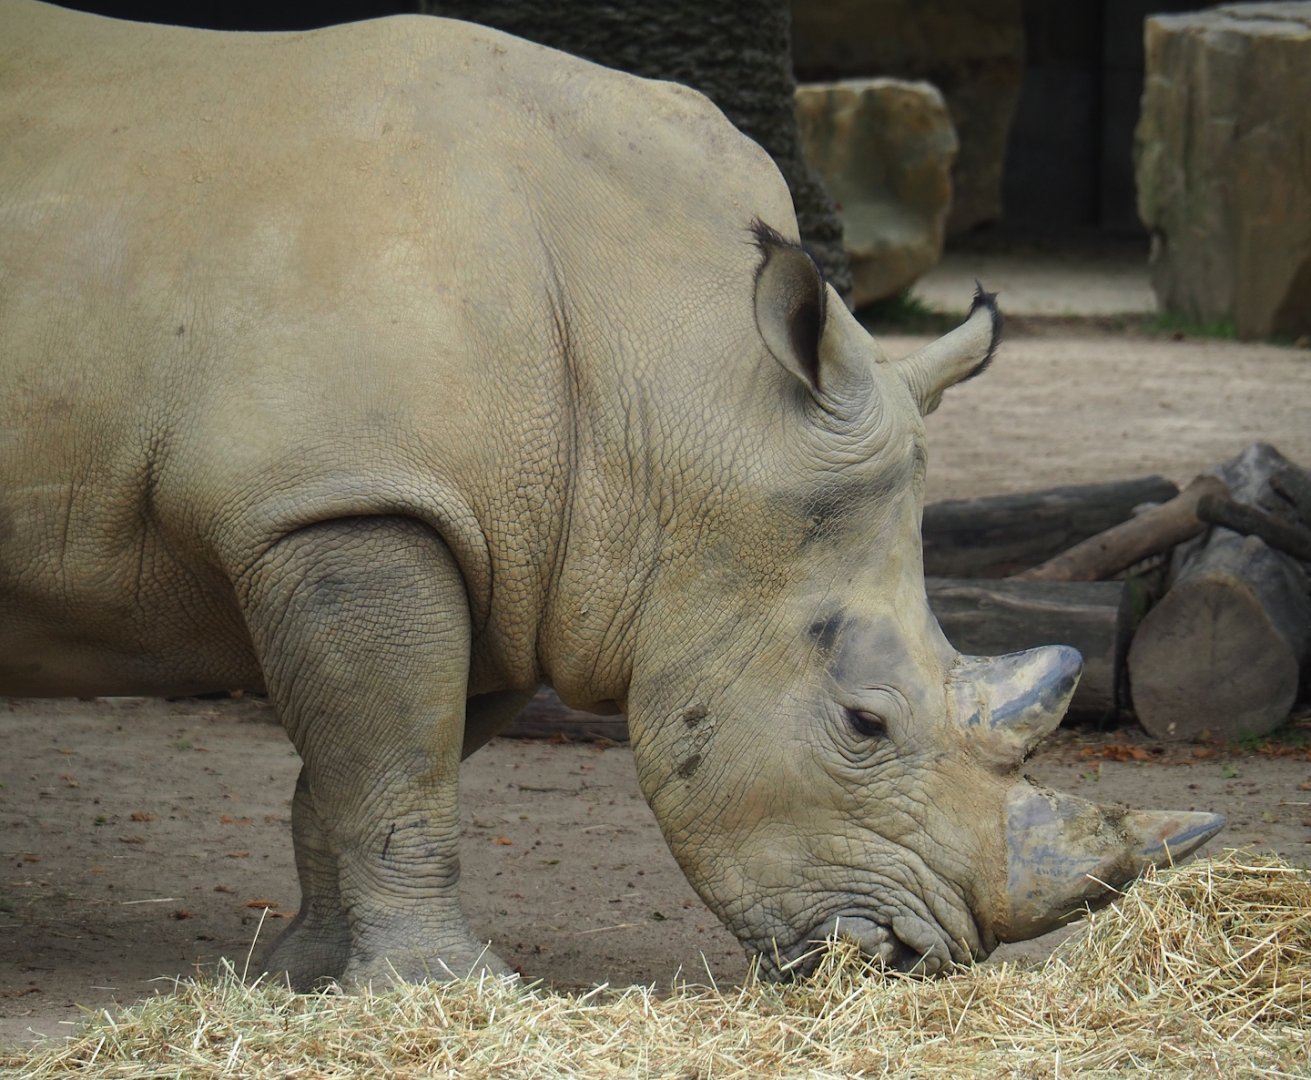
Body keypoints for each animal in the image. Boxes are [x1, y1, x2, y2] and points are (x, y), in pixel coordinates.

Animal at [0, 1, 1222, 989]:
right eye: (863, 722)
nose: (916, 960)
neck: (682, 378)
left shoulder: (503, 551)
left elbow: (368, 763)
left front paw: (302, 976)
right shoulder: (346, 499)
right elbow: (397, 761)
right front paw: (446, 990)